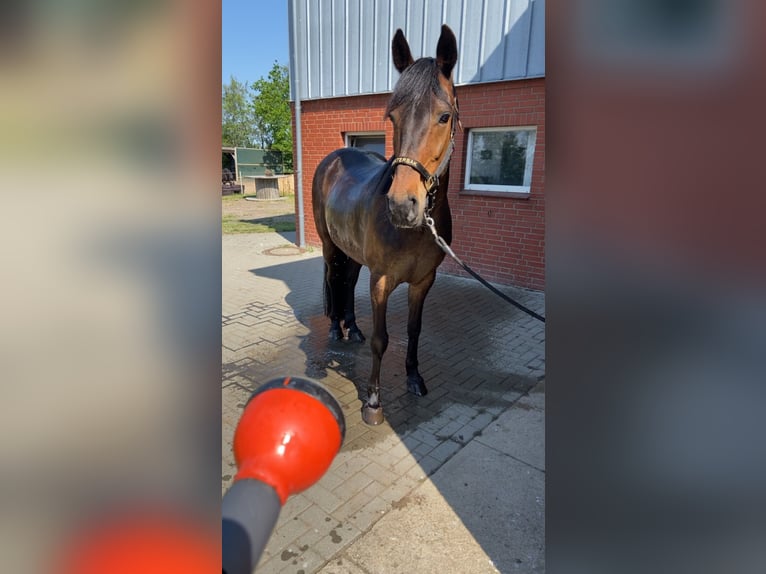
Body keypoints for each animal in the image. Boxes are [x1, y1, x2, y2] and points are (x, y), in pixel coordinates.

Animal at [314, 24, 460, 426]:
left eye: (444, 116)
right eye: (392, 117)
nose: (402, 205)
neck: (416, 230)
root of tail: (333, 158)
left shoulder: (424, 282)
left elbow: (413, 330)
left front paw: (414, 379)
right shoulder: (381, 280)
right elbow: (383, 339)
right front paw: (373, 403)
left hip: (354, 253)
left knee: (347, 283)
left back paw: (352, 328)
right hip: (330, 246)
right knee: (333, 278)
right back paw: (335, 329)